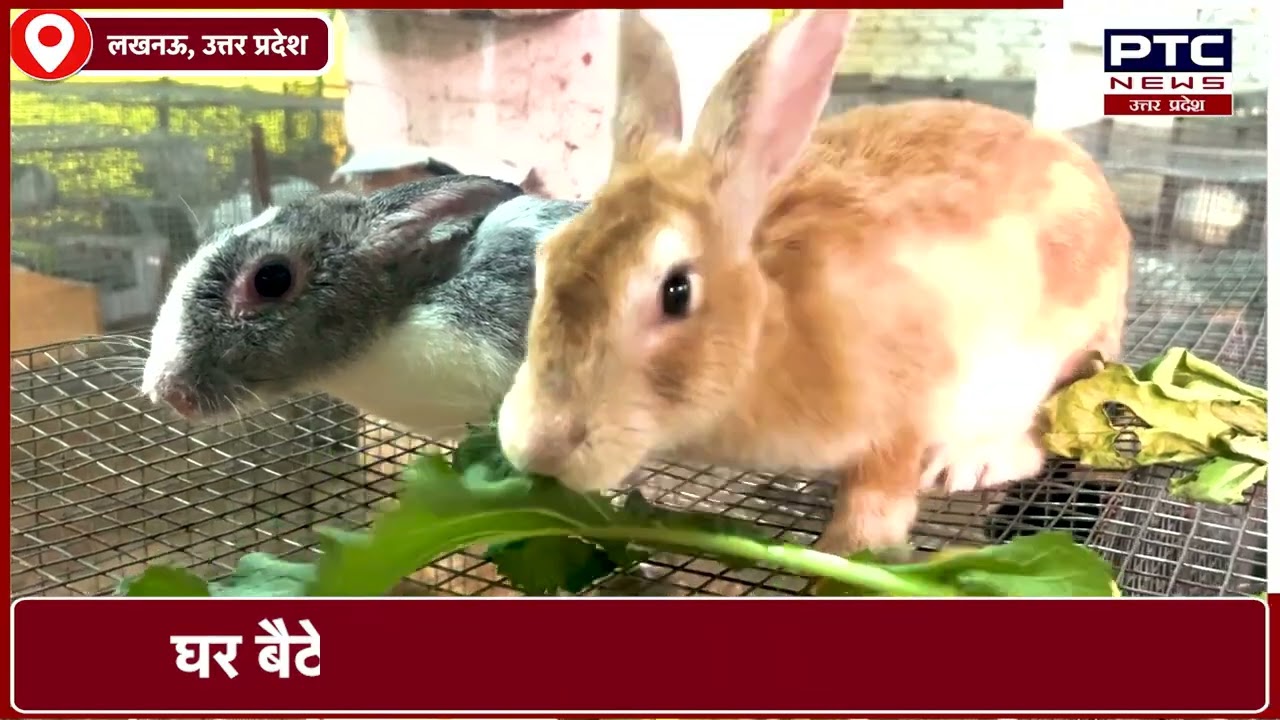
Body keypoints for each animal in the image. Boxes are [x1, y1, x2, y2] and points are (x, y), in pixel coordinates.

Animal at [496, 9, 1133, 556]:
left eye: (676, 292)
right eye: (546, 261)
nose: (540, 450)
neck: (774, 327)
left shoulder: (905, 404)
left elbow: (880, 487)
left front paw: (847, 550)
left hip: (1058, 359)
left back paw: (971, 462)